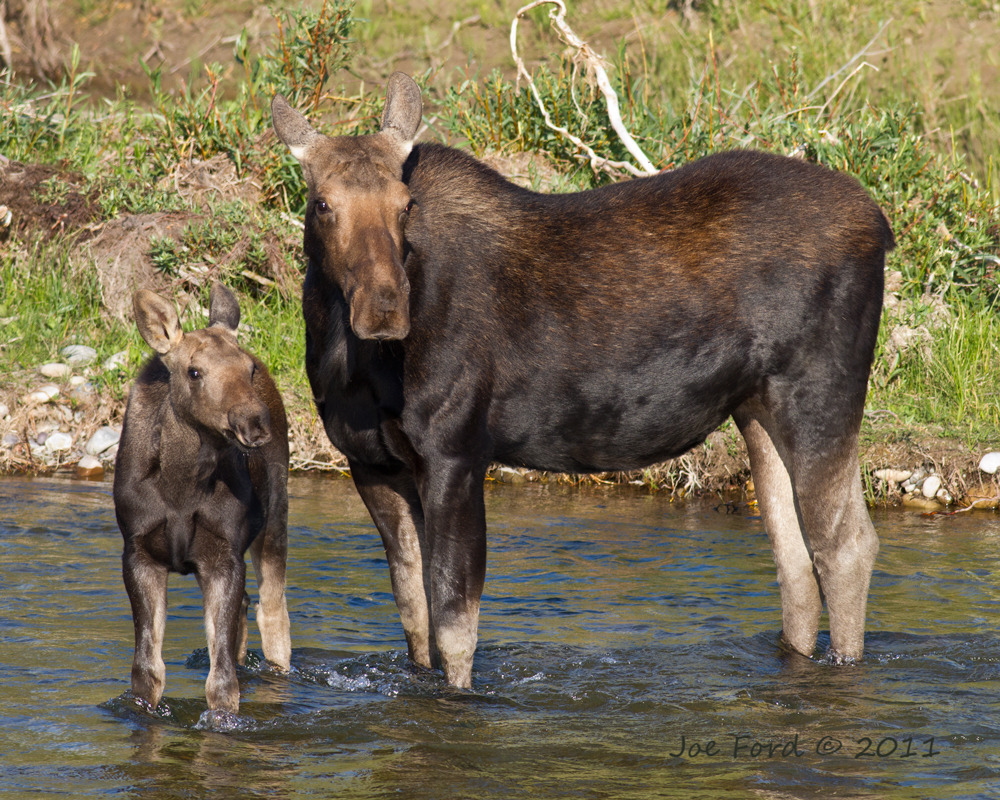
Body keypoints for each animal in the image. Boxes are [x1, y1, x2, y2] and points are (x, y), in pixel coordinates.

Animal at [116, 282, 292, 712]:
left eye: (249, 369)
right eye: (194, 372)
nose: (253, 424)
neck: (181, 487)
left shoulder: (223, 554)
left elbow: (222, 681)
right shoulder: (139, 552)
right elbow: (147, 672)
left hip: (275, 517)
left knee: (272, 609)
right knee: (247, 608)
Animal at [272, 73, 892, 688]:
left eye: (405, 206)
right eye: (322, 204)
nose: (384, 309)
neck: (353, 357)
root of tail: (881, 225)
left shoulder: (456, 452)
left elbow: (454, 629)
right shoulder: (371, 464)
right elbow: (413, 622)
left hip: (821, 392)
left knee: (845, 546)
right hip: (758, 406)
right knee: (793, 561)